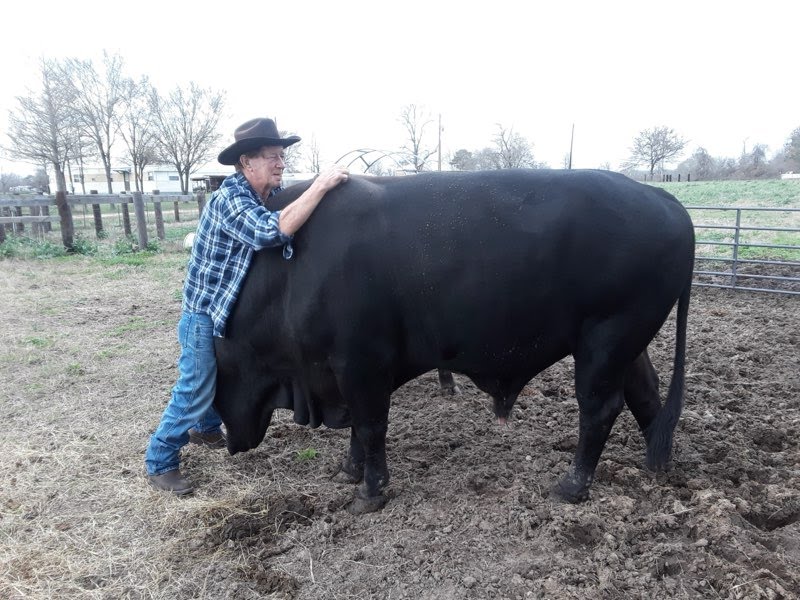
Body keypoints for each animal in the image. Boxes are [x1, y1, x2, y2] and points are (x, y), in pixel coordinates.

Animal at [213, 169, 694, 514]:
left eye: (215, 367)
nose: (221, 441)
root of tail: (662, 198)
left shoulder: (360, 362)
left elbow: (369, 425)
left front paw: (370, 491)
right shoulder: (345, 370)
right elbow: (357, 426)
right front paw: (350, 469)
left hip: (606, 338)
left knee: (600, 409)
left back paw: (572, 485)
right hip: (628, 343)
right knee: (645, 394)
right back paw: (659, 466)